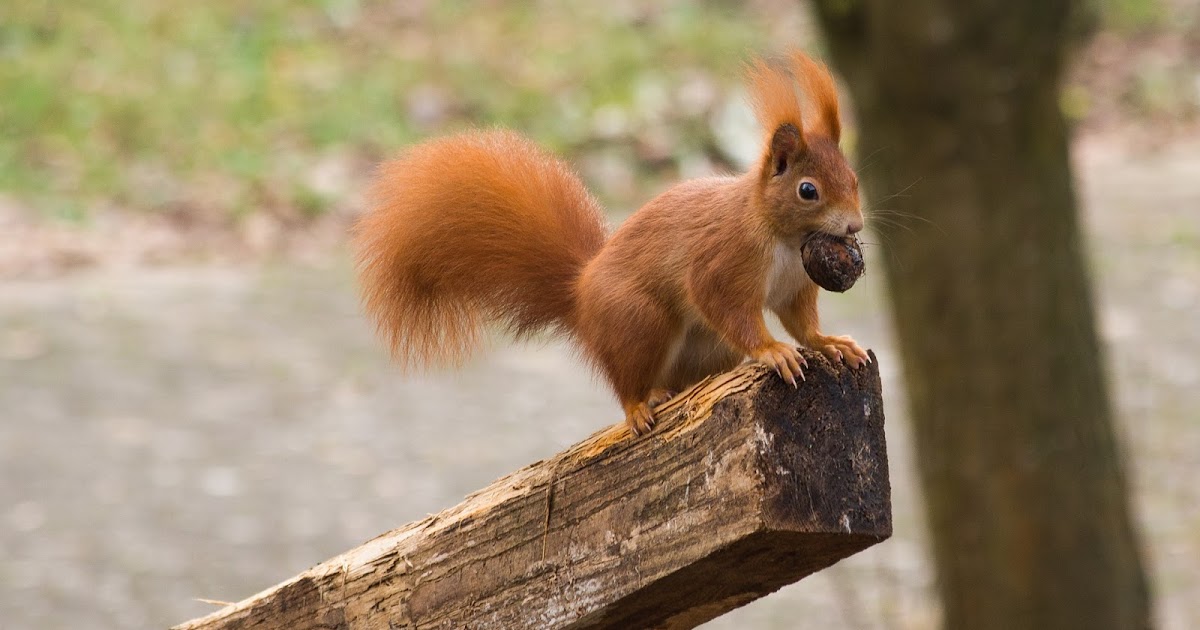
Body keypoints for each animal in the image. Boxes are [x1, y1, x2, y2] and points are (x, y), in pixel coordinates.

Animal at [353, 50, 869, 436]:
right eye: (808, 190)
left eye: (854, 178)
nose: (855, 227)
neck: (783, 240)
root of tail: (580, 298)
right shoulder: (723, 260)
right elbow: (723, 303)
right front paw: (771, 350)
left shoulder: (793, 285)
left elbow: (802, 322)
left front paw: (829, 342)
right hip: (639, 321)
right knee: (627, 381)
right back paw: (640, 405)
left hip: (706, 349)